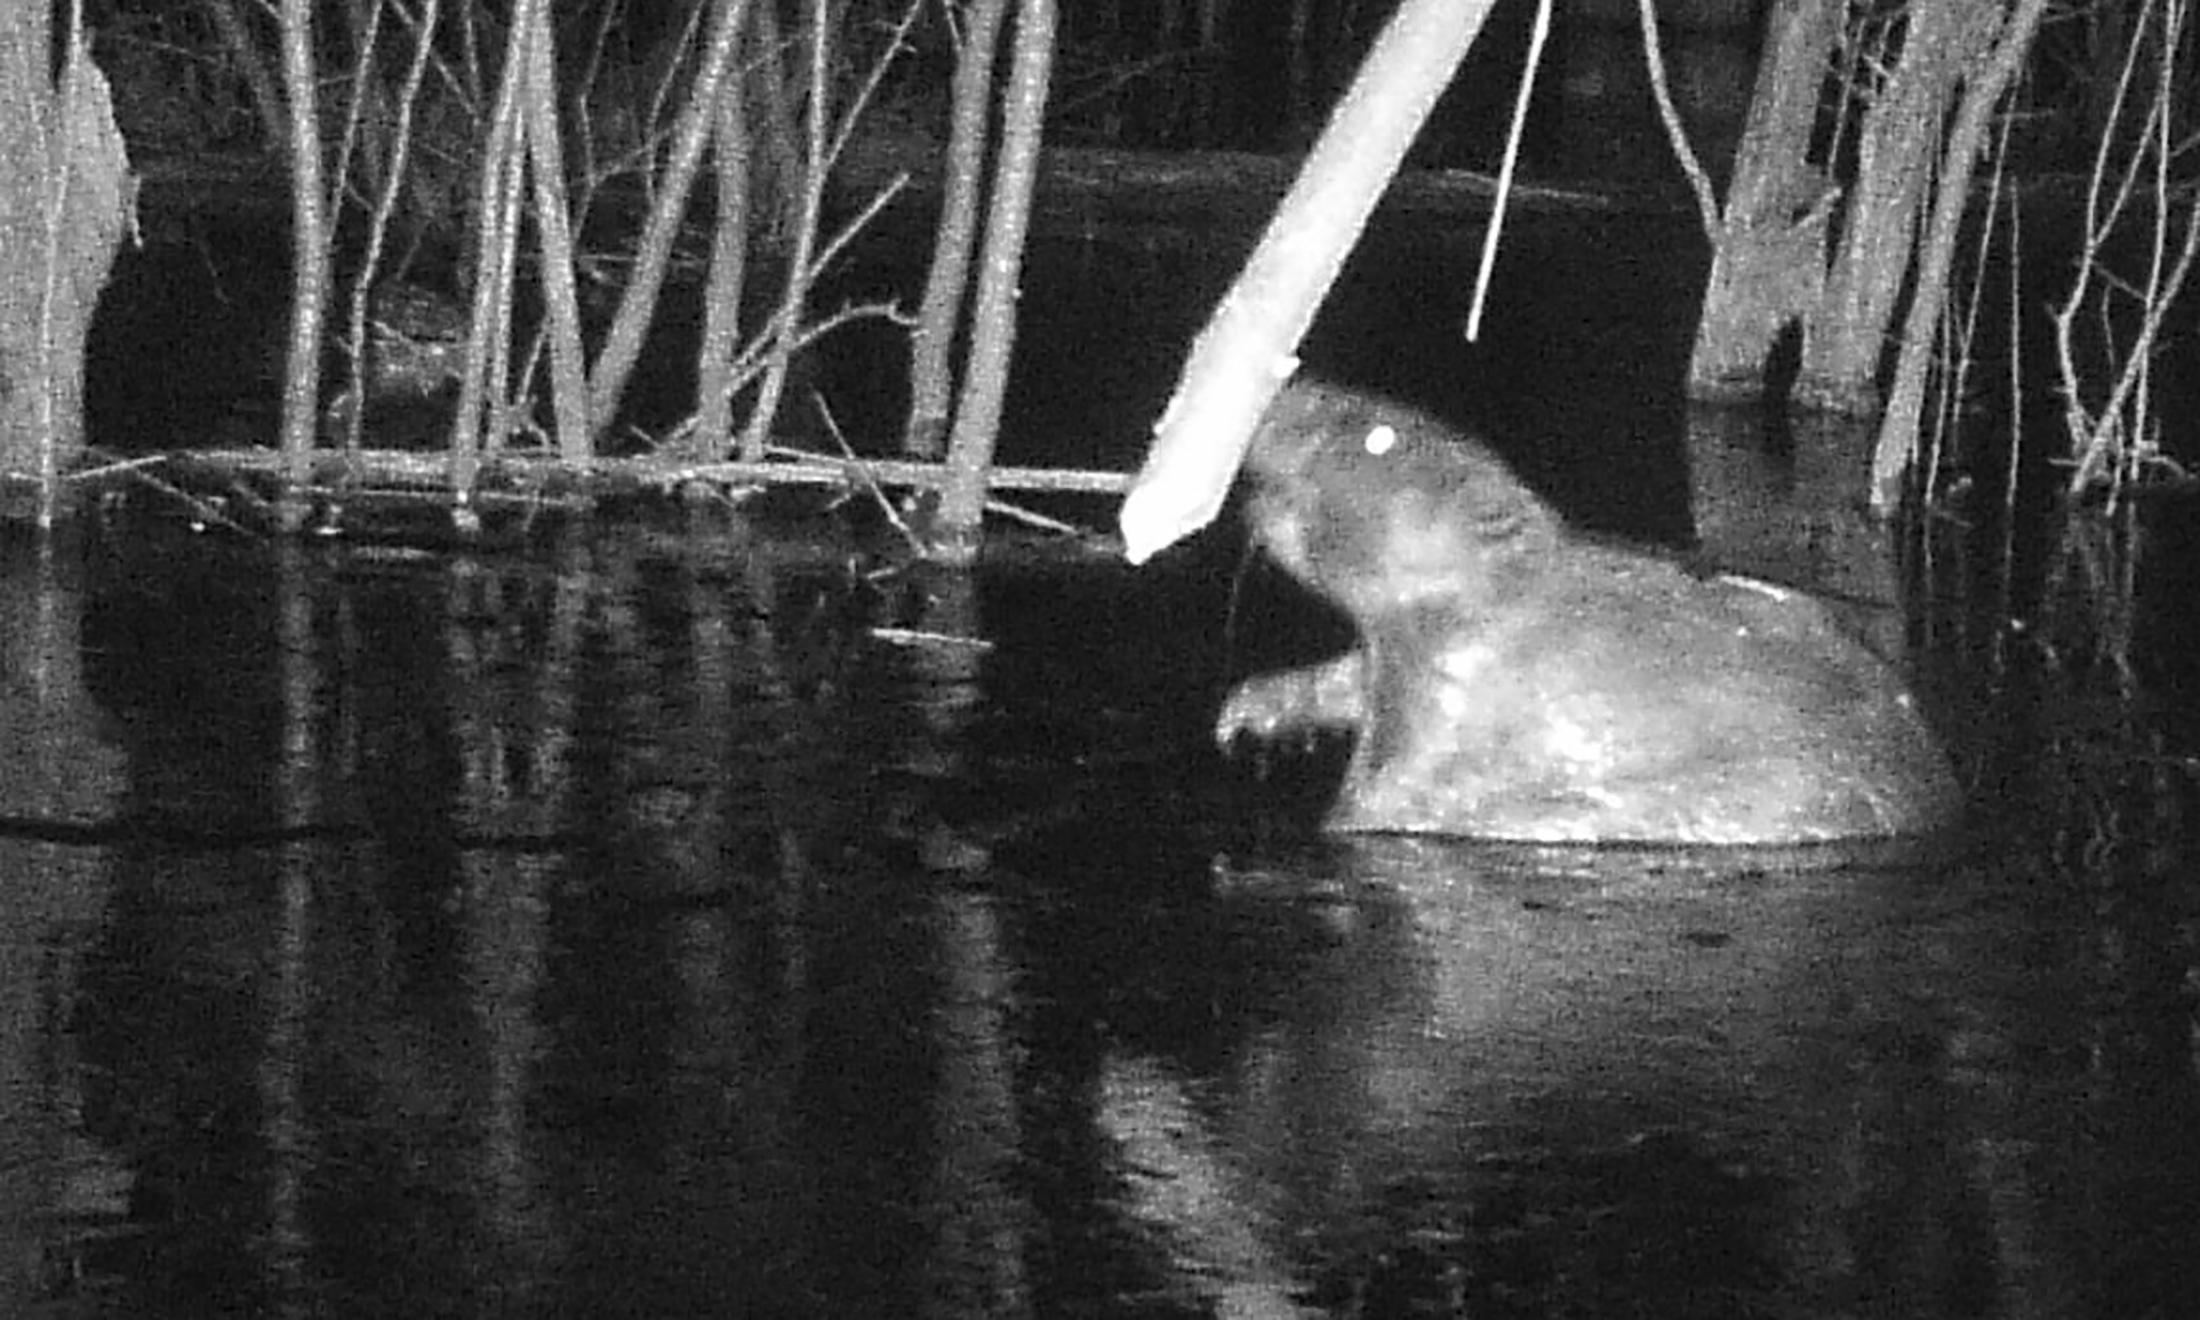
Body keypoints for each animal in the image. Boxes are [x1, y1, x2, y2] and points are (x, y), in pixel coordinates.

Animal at [1223, 376, 1962, 840]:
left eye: (1380, 435)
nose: (1288, 379)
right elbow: (1349, 678)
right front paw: (1245, 713)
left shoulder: (1471, 693)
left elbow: (1396, 796)